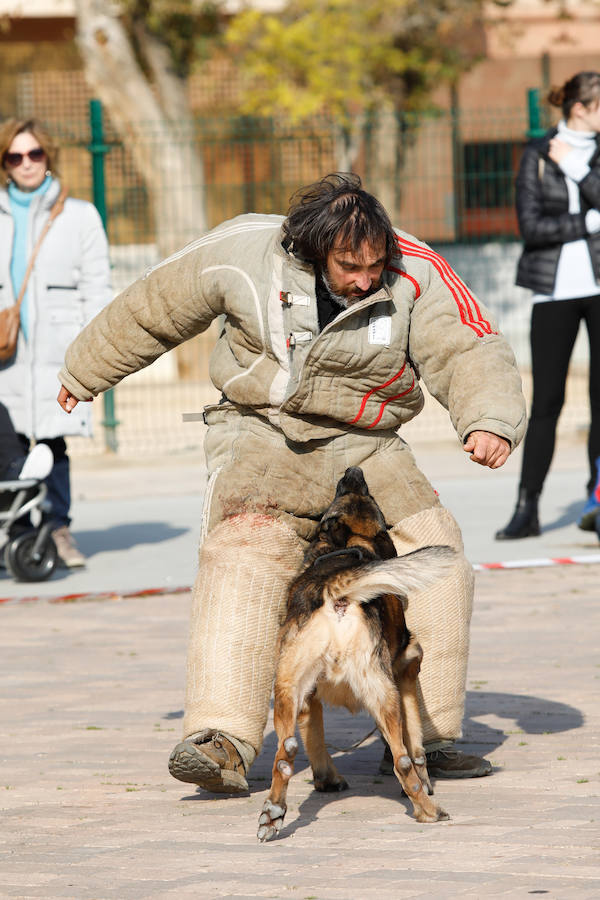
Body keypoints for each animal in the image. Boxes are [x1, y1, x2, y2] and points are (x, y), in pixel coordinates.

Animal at [258, 468, 454, 840]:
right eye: (371, 498)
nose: (354, 471)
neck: (353, 545)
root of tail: (334, 587)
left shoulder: (308, 698)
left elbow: (315, 737)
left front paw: (327, 780)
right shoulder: (407, 668)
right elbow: (416, 743)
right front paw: (425, 781)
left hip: (287, 687)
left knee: (284, 752)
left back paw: (272, 814)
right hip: (383, 691)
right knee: (402, 759)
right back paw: (428, 810)